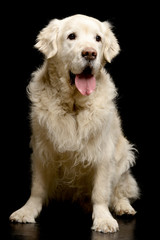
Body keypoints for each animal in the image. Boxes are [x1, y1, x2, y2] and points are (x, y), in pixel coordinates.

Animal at [9, 14, 139, 232]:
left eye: (98, 38)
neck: (73, 106)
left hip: (124, 155)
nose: (90, 53)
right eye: (71, 36)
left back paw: (123, 206)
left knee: (120, 189)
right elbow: (37, 188)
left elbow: (101, 192)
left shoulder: (104, 154)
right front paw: (27, 211)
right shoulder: (42, 151)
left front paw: (103, 219)